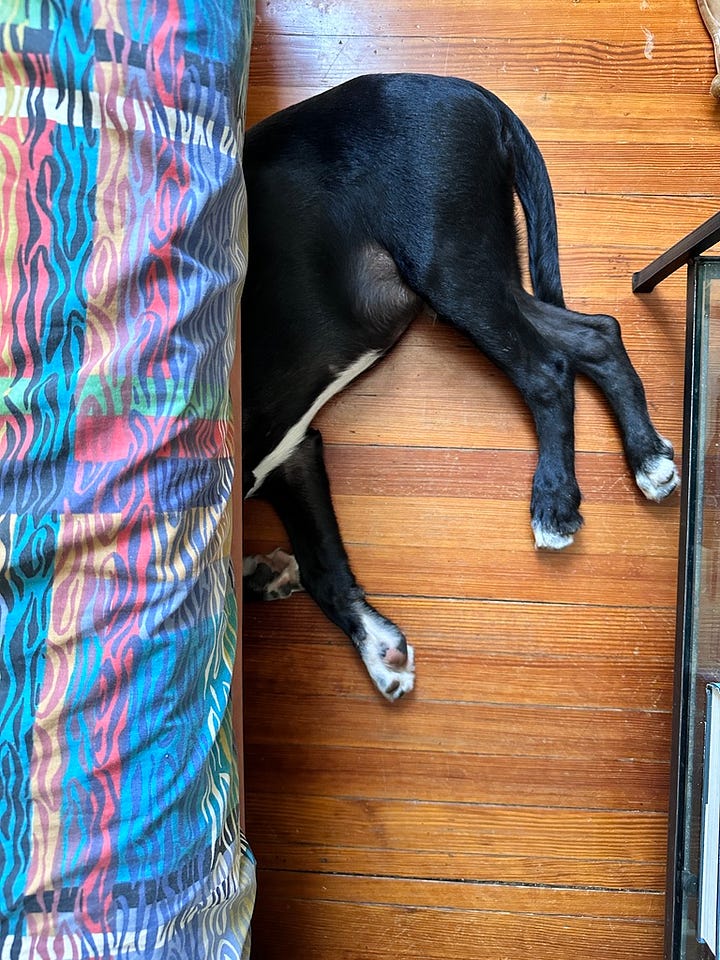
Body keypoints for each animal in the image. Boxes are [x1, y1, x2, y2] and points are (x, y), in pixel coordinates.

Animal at [242, 75, 680, 700]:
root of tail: (464, 90)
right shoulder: (292, 455)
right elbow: (324, 570)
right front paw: (375, 650)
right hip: (477, 269)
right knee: (596, 333)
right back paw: (647, 457)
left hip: (448, 267)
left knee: (548, 371)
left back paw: (554, 500)